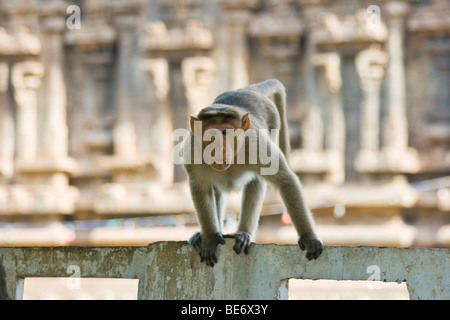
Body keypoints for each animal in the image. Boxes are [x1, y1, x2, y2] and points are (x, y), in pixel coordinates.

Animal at [183, 79, 324, 266]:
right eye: (210, 134)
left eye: (225, 132)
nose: (219, 149)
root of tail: (245, 90)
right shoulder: (193, 151)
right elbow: (200, 187)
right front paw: (210, 236)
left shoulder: (255, 145)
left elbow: (285, 180)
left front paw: (308, 237)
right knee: (217, 189)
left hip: (273, 122)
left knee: (256, 181)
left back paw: (243, 233)